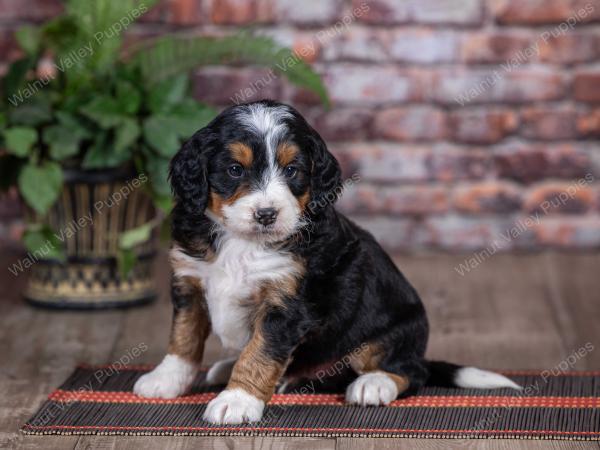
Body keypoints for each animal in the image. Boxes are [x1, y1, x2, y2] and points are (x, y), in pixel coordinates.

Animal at [132, 100, 520, 424]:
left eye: (292, 170)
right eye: (234, 169)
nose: (267, 214)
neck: (243, 242)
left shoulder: (287, 304)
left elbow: (259, 354)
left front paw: (238, 401)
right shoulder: (190, 282)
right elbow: (183, 338)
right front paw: (166, 379)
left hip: (390, 331)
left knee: (411, 371)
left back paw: (373, 384)